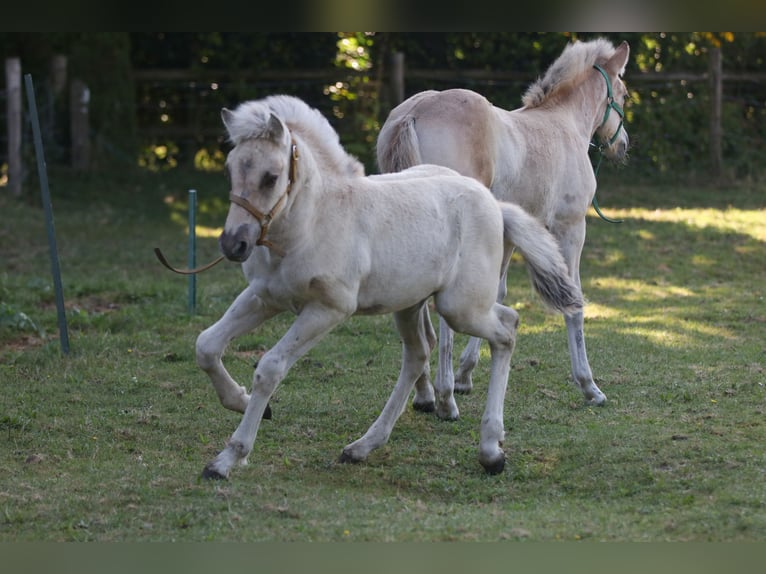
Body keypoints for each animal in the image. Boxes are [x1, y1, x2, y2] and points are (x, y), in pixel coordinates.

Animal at [195, 95, 584, 482]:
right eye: (230, 170)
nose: (234, 244)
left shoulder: (327, 309)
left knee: (506, 331)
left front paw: (227, 458)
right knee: (424, 352)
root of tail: (496, 205)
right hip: (414, 303)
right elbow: (206, 345)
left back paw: (490, 451)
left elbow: (270, 368)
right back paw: (363, 446)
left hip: (460, 307)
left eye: (271, 177)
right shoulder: (265, 297)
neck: (313, 222)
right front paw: (243, 403)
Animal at [376, 37, 632, 414]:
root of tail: (414, 112)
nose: (622, 145)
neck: (563, 124)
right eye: (624, 94)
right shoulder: (571, 228)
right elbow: (574, 301)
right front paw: (589, 386)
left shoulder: (512, 234)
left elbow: (496, 292)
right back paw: (445, 399)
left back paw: (425, 394)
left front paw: (467, 375)